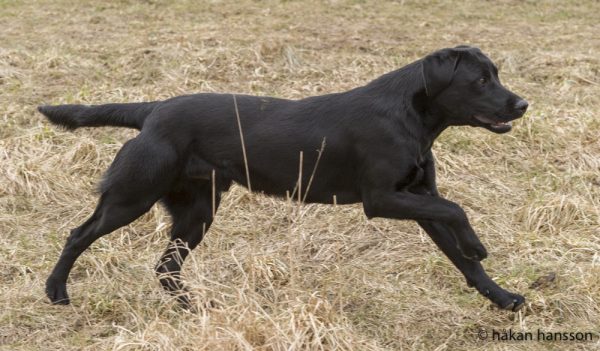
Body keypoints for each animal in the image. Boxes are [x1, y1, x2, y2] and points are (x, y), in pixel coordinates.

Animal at [37, 45, 528, 312]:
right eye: (481, 80)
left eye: (496, 76)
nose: (522, 104)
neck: (411, 116)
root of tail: (153, 110)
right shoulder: (382, 199)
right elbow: (457, 211)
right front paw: (478, 243)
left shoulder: (418, 198)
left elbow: (461, 257)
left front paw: (502, 296)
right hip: (132, 195)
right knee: (79, 234)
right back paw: (56, 291)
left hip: (197, 210)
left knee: (166, 267)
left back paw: (194, 309)